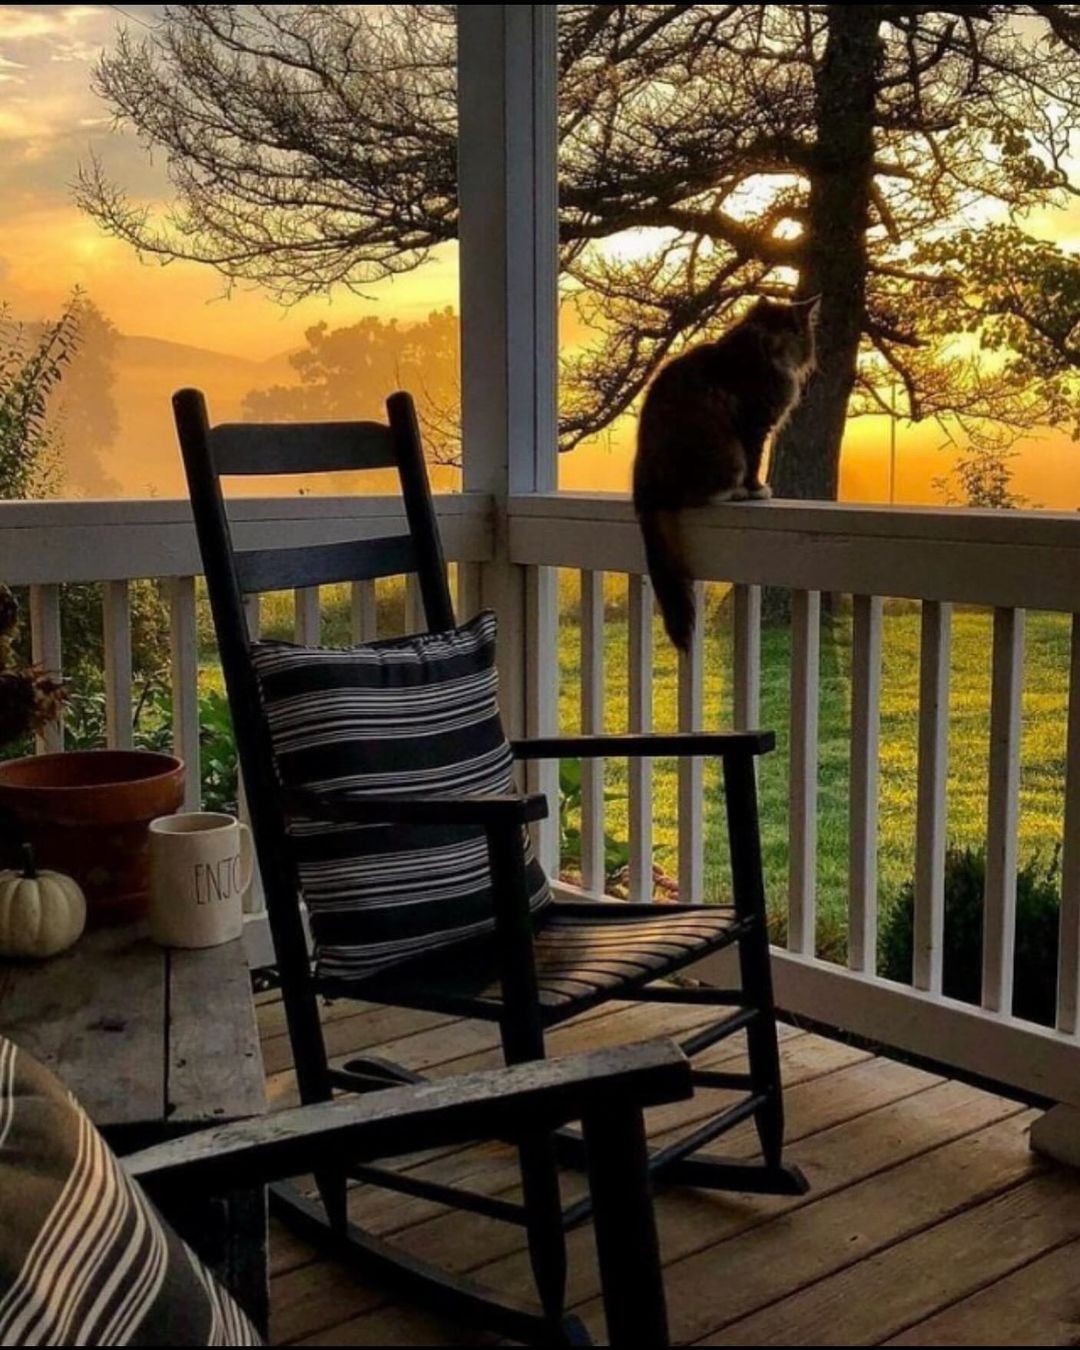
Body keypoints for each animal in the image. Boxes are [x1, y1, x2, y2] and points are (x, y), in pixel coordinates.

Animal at [631, 297, 820, 653]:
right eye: (804, 336)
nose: (809, 360)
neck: (760, 347)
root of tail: (643, 482)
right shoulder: (755, 424)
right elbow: (755, 462)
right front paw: (758, 489)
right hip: (726, 453)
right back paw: (738, 492)